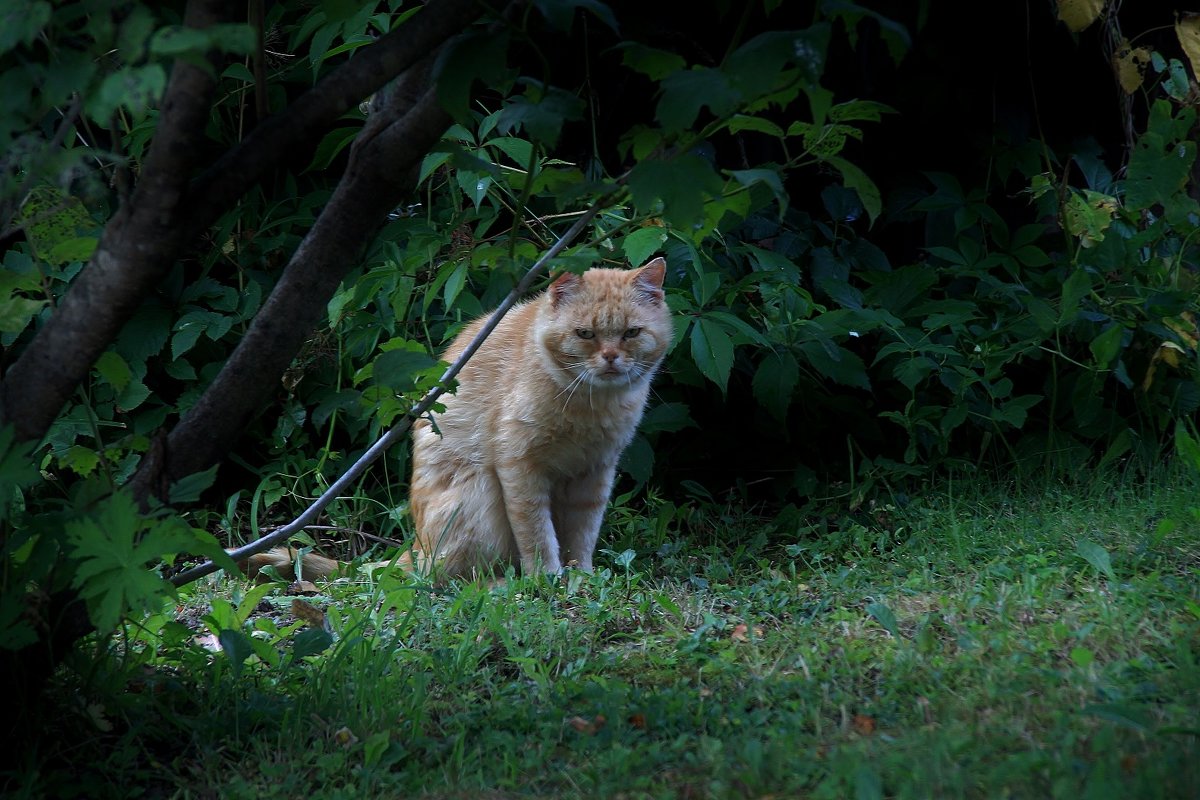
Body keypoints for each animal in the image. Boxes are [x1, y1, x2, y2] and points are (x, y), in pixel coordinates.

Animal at [243, 261, 676, 582]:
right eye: (585, 334)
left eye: (631, 333)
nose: (610, 358)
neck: (589, 404)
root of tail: (417, 547)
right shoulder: (519, 467)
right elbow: (537, 534)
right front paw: (548, 579)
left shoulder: (595, 472)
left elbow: (583, 533)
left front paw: (580, 577)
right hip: (479, 492)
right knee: (447, 577)